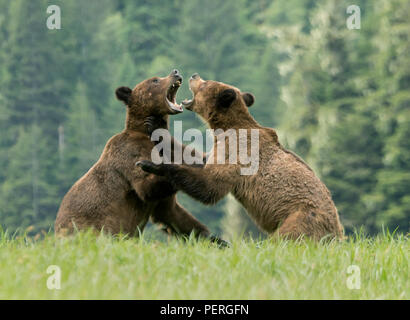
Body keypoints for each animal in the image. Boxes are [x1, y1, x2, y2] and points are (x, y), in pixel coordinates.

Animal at [54, 70, 226, 245]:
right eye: (155, 80)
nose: (175, 72)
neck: (145, 133)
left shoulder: (162, 201)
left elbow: (174, 216)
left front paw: (217, 240)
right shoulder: (129, 152)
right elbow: (145, 187)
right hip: (87, 227)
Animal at [137, 72, 342, 241]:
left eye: (205, 84)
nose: (194, 75)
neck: (225, 128)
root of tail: (338, 235)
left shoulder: (239, 152)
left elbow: (210, 186)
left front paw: (151, 165)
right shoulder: (220, 149)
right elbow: (200, 160)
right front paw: (155, 126)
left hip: (300, 219)